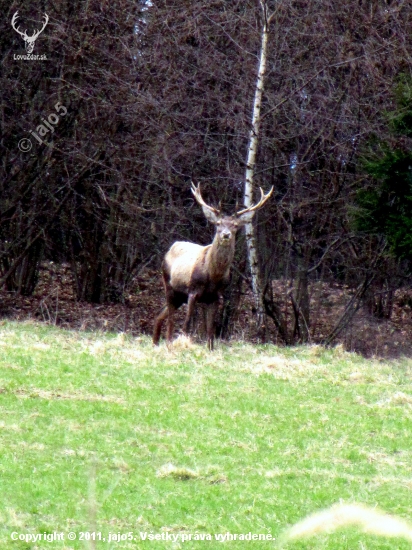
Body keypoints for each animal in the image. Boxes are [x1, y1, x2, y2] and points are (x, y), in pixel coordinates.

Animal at [153, 183, 272, 352]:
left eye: (235, 225)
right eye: (218, 224)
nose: (226, 234)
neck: (213, 276)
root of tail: (170, 248)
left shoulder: (215, 296)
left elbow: (211, 330)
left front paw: (210, 349)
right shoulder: (193, 291)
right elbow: (186, 324)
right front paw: (183, 344)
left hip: (179, 296)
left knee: (159, 315)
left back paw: (155, 343)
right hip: (168, 285)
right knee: (170, 319)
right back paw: (168, 344)